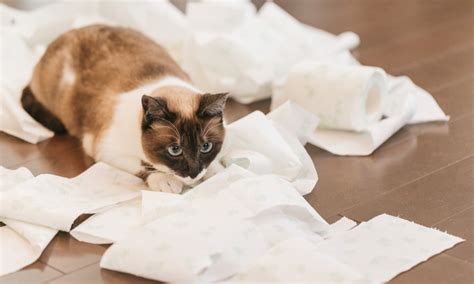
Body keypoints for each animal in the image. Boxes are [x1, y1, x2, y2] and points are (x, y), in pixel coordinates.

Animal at [21, 25, 228, 193]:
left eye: (206, 147)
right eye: (174, 150)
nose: (194, 174)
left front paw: (215, 170)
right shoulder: (105, 151)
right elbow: (142, 166)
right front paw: (165, 179)